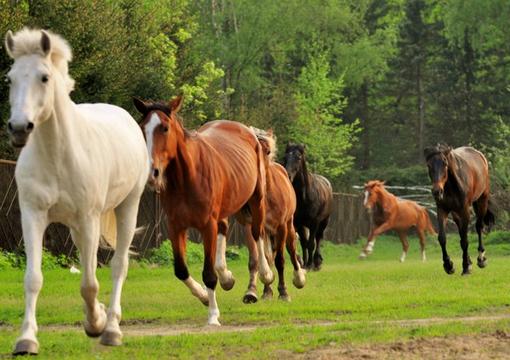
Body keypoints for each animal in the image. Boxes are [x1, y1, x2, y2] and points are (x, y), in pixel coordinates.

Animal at [4, 28, 148, 354]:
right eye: (10, 78)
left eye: (44, 77)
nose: (18, 128)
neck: (57, 155)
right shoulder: (33, 216)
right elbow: (34, 278)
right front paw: (26, 339)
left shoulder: (88, 217)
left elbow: (90, 283)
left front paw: (97, 324)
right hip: (76, 226)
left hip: (127, 208)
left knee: (118, 266)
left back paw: (111, 328)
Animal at [133, 96, 272, 326]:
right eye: (142, 128)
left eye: (165, 128)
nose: (152, 173)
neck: (187, 178)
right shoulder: (175, 226)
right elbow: (181, 270)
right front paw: (205, 296)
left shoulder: (207, 226)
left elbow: (208, 273)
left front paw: (213, 316)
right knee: (224, 229)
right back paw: (226, 277)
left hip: (257, 199)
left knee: (257, 233)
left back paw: (266, 274)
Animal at [236, 128, 304, 302]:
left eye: (267, 151)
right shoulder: (249, 226)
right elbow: (255, 260)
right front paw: (251, 292)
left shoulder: (280, 227)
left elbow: (281, 260)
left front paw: (284, 292)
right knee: (268, 257)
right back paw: (267, 290)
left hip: (288, 225)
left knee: (291, 249)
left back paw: (299, 278)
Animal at [424, 145, 496, 274]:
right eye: (429, 165)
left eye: (445, 163)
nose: (437, 191)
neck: (451, 185)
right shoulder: (442, 209)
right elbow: (442, 238)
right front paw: (448, 265)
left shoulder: (465, 210)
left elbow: (465, 240)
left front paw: (466, 267)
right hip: (455, 212)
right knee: (461, 230)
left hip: (482, 200)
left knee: (478, 226)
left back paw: (481, 258)